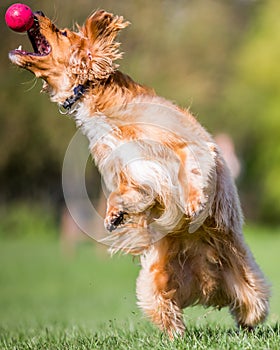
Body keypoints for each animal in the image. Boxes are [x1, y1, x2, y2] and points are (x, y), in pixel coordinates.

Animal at [8, 9, 270, 338]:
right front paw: (113, 215)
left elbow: (191, 166)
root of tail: (206, 281)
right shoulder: (129, 172)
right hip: (151, 283)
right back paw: (176, 335)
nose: (38, 12)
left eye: (64, 33)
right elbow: (127, 194)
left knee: (252, 304)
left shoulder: (188, 143)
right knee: (168, 309)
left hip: (244, 277)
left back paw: (247, 325)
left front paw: (195, 202)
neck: (97, 100)